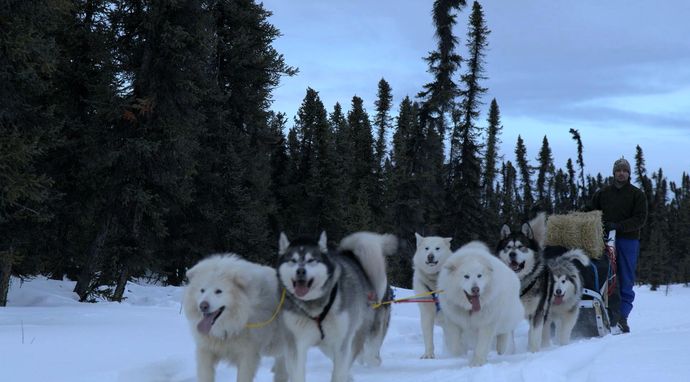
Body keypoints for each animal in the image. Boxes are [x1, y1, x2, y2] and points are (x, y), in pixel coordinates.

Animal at [181, 254, 286, 382]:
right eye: (202, 290)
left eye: (218, 291)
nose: (203, 306)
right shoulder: (206, 351)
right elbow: (205, 375)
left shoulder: (247, 355)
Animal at [274, 230, 392, 382]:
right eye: (292, 261)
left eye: (311, 260)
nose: (300, 271)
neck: (315, 307)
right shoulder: (295, 342)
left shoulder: (342, 342)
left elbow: (340, 371)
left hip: (360, 332)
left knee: (367, 356)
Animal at [494, 212, 548, 352]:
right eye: (508, 248)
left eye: (520, 247)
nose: (512, 254)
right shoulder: (509, 312)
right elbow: (508, 341)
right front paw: (508, 353)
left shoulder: (537, 312)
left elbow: (535, 337)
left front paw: (533, 352)